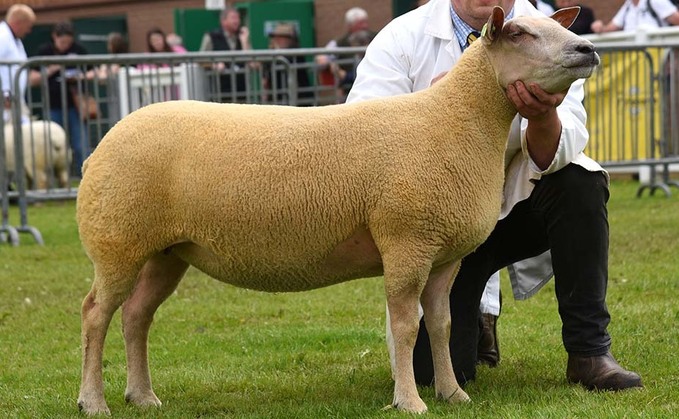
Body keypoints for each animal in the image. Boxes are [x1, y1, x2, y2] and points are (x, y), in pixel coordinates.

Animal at [75, 7, 600, 416]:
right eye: (519, 33)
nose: (588, 50)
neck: (455, 120)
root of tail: (103, 143)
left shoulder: (445, 255)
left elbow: (442, 325)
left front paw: (452, 394)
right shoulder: (407, 242)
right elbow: (406, 328)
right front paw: (411, 401)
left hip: (166, 250)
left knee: (136, 316)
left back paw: (142, 397)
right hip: (117, 241)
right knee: (95, 314)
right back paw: (93, 401)